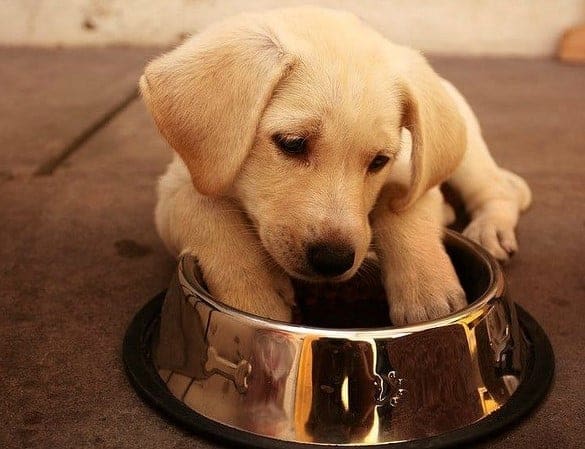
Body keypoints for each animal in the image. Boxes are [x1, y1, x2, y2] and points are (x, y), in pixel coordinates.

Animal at [140, 6, 528, 322]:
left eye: (379, 161)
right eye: (292, 144)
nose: (333, 260)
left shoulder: (410, 176)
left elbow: (401, 209)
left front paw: (428, 290)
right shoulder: (181, 185)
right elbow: (211, 218)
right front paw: (257, 296)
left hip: (466, 155)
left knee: (495, 189)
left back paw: (490, 227)